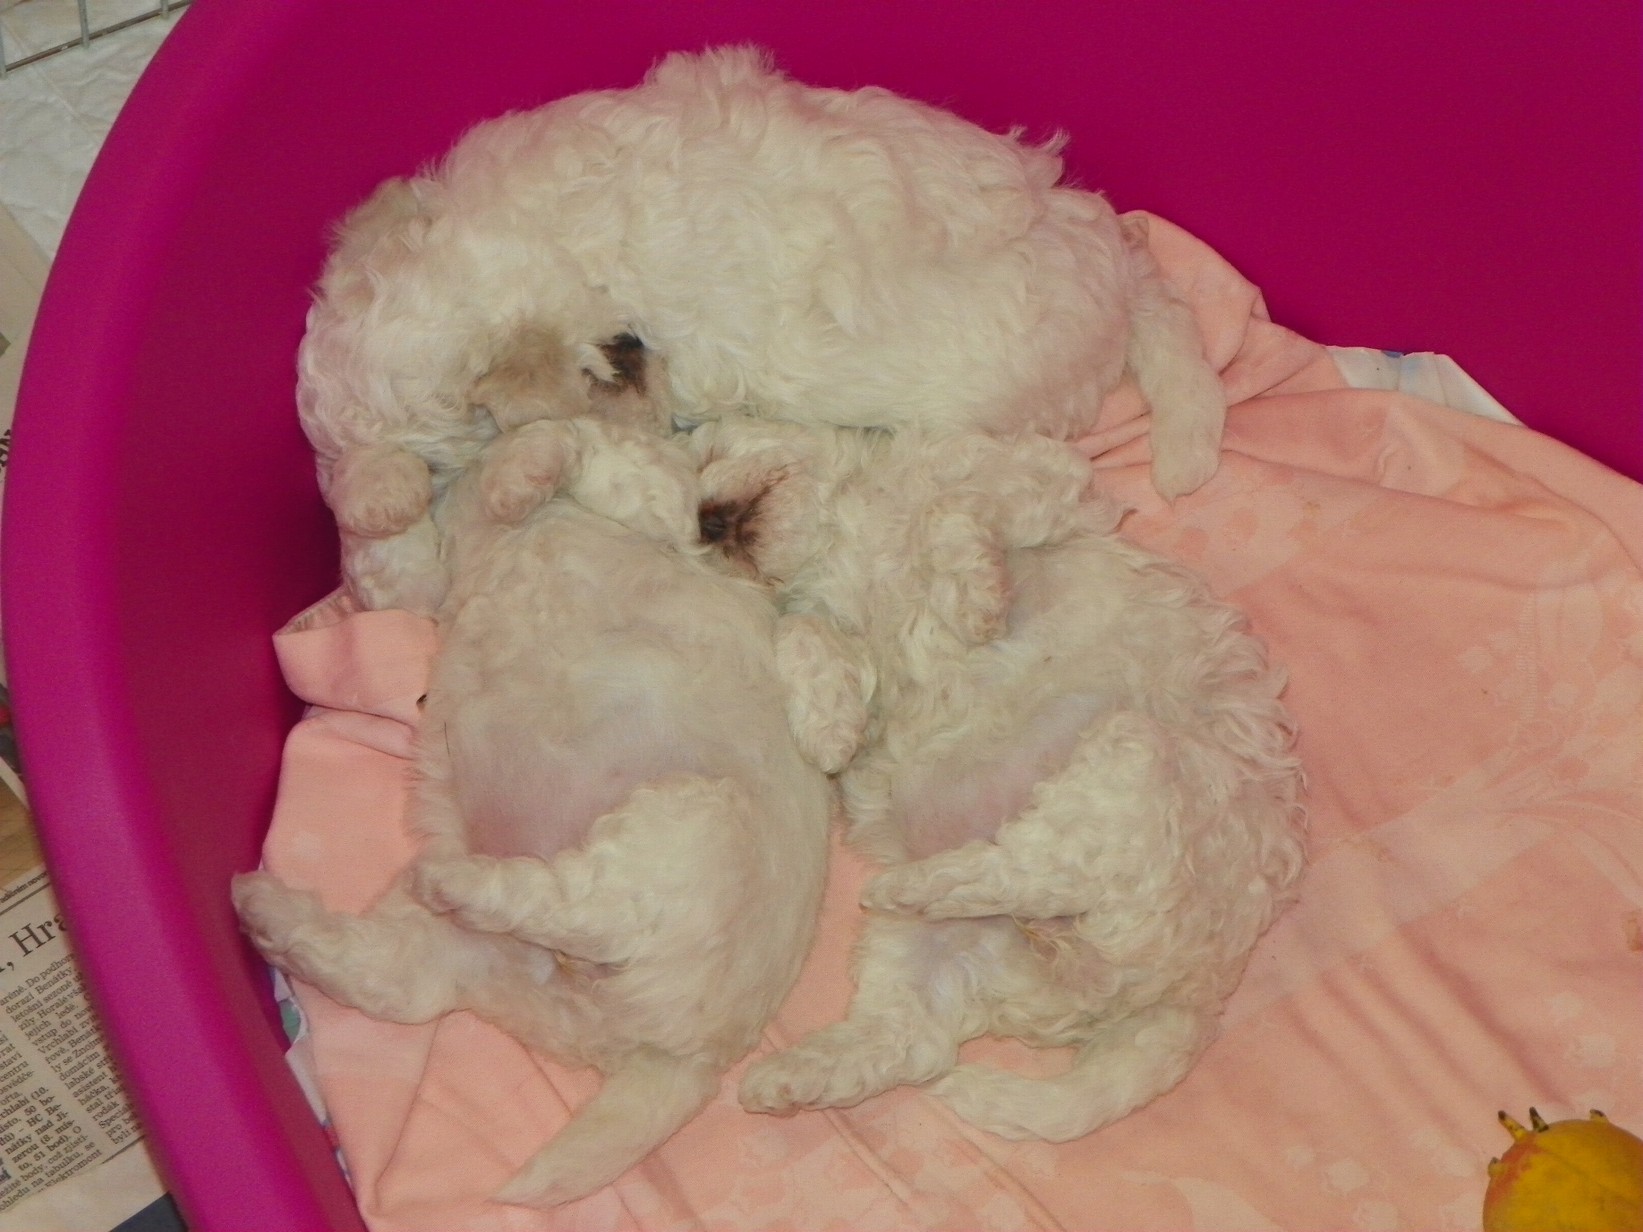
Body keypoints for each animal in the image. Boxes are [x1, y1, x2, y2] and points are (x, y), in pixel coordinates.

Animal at [235, 403, 839, 1207]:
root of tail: (690, 1058)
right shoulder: (437, 570)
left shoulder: (644, 494)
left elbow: (588, 454)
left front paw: (523, 466)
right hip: (482, 965)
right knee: (399, 980)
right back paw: (269, 913)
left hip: (692, 834)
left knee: (574, 905)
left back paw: (449, 880)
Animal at [690, 418, 1306, 1143]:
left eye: (705, 453)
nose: (705, 521)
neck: (847, 524)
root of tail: (1195, 994)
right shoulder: (832, 618)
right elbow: (802, 628)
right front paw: (828, 729)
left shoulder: (1046, 480)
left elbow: (954, 510)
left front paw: (974, 598)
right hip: (933, 949)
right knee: (911, 1038)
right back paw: (794, 1074)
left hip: (1142, 767)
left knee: (1042, 868)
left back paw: (906, 887)